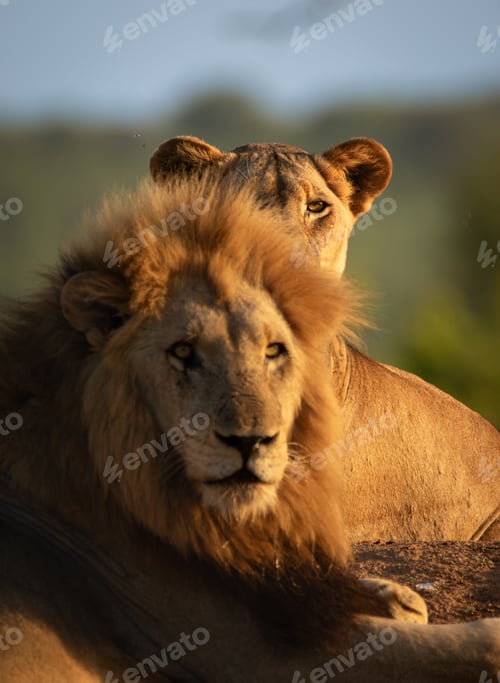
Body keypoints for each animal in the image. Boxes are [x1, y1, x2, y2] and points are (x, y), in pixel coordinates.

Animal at [0, 175, 498, 682]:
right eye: (183, 352)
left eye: (273, 350)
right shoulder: (245, 649)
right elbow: (477, 642)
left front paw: (397, 598)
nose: (251, 441)